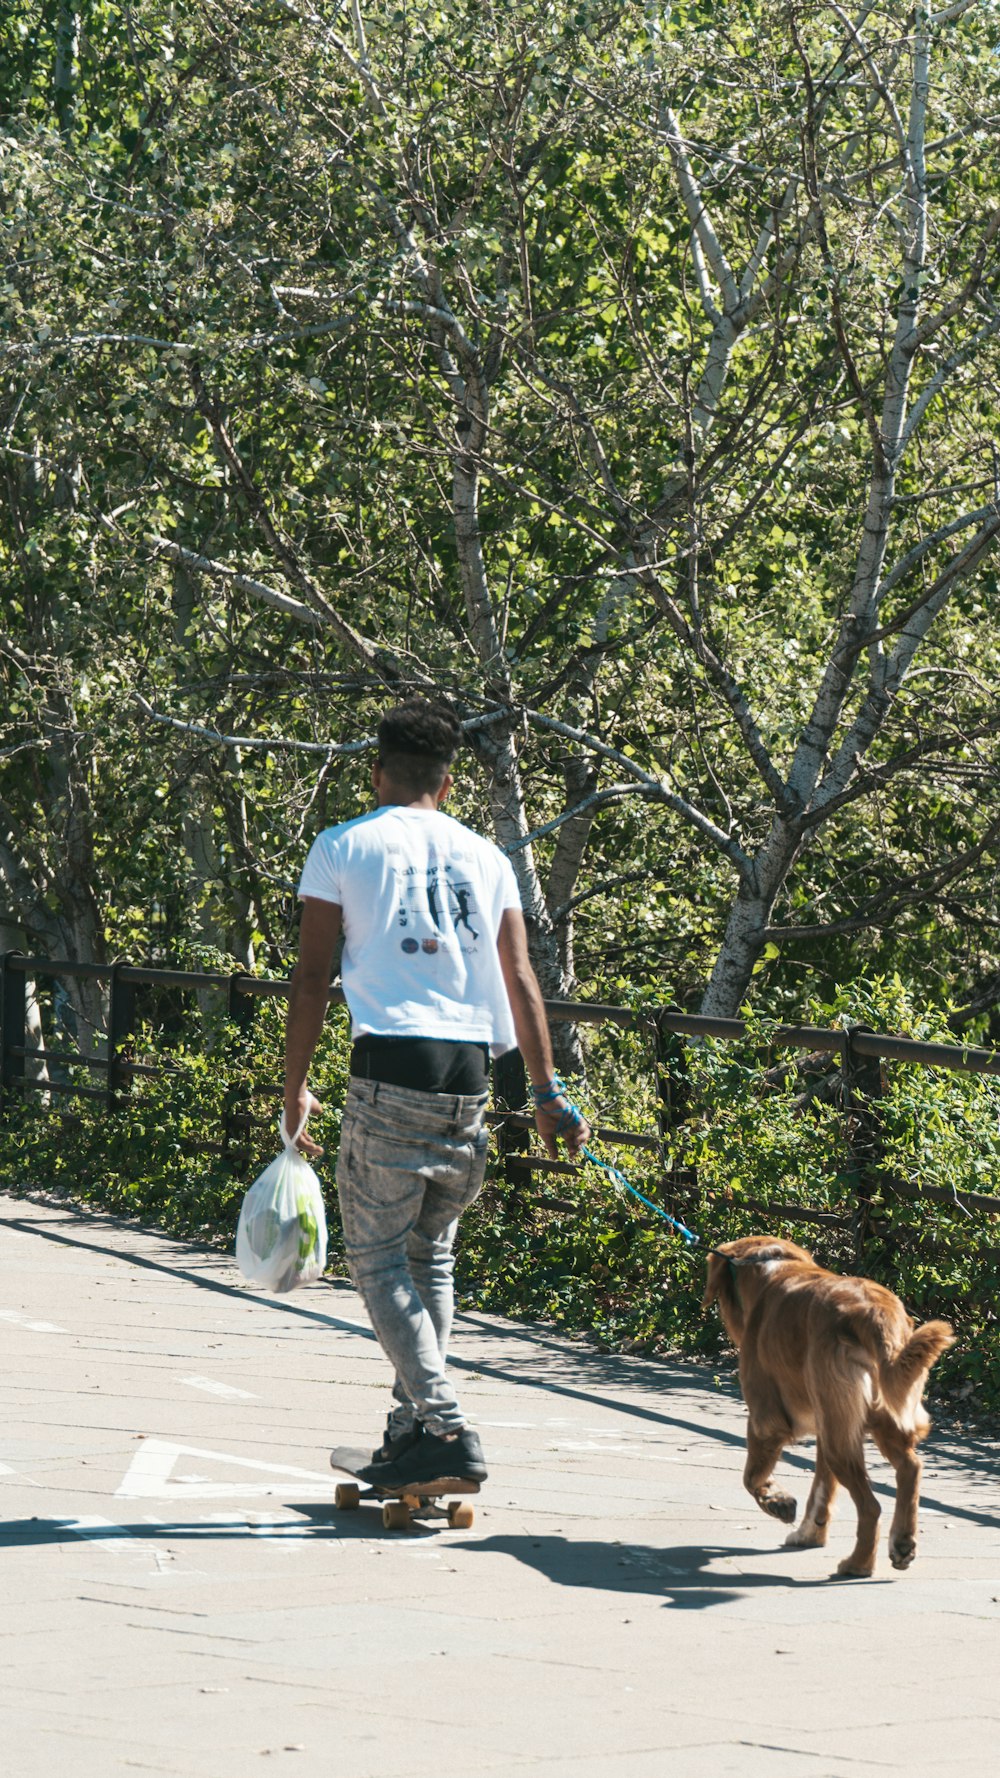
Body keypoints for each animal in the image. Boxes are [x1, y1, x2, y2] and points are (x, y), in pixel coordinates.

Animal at [701, 1230, 946, 1578]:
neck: (771, 1264)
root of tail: (874, 1313)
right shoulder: (825, 1420)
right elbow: (821, 1487)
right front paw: (809, 1533)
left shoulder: (766, 1420)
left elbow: (751, 1477)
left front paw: (777, 1500)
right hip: (867, 1419)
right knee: (910, 1469)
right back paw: (901, 1543)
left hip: (838, 1432)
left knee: (871, 1506)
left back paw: (858, 1565)